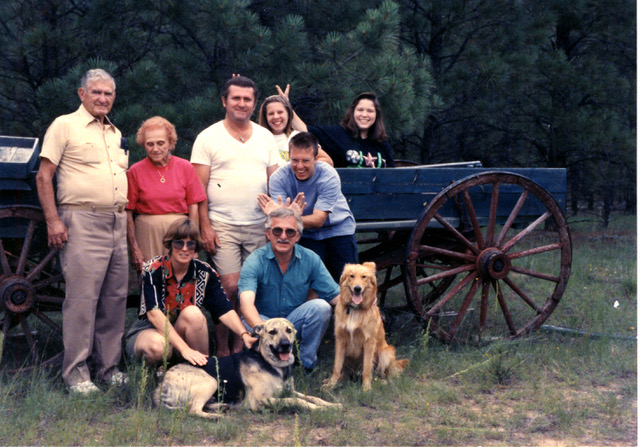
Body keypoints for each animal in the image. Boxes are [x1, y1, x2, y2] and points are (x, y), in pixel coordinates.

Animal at [153, 318, 342, 416]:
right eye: (272, 332)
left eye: (289, 330)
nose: (286, 345)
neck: (271, 364)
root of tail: (161, 383)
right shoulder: (261, 401)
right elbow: (296, 401)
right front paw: (318, 409)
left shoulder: (290, 390)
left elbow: (312, 397)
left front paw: (331, 404)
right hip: (211, 381)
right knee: (193, 409)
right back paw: (216, 417)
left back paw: (221, 407)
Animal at [324, 262, 410, 392]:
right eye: (351, 276)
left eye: (364, 277)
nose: (357, 288)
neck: (355, 310)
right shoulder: (340, 339)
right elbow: (337, 367)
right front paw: (331, 384)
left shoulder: (369, 342)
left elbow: (367, 368)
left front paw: (366, 388)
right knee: (345, 372)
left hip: (385, 353)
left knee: (384, 373)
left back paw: (382, 381)